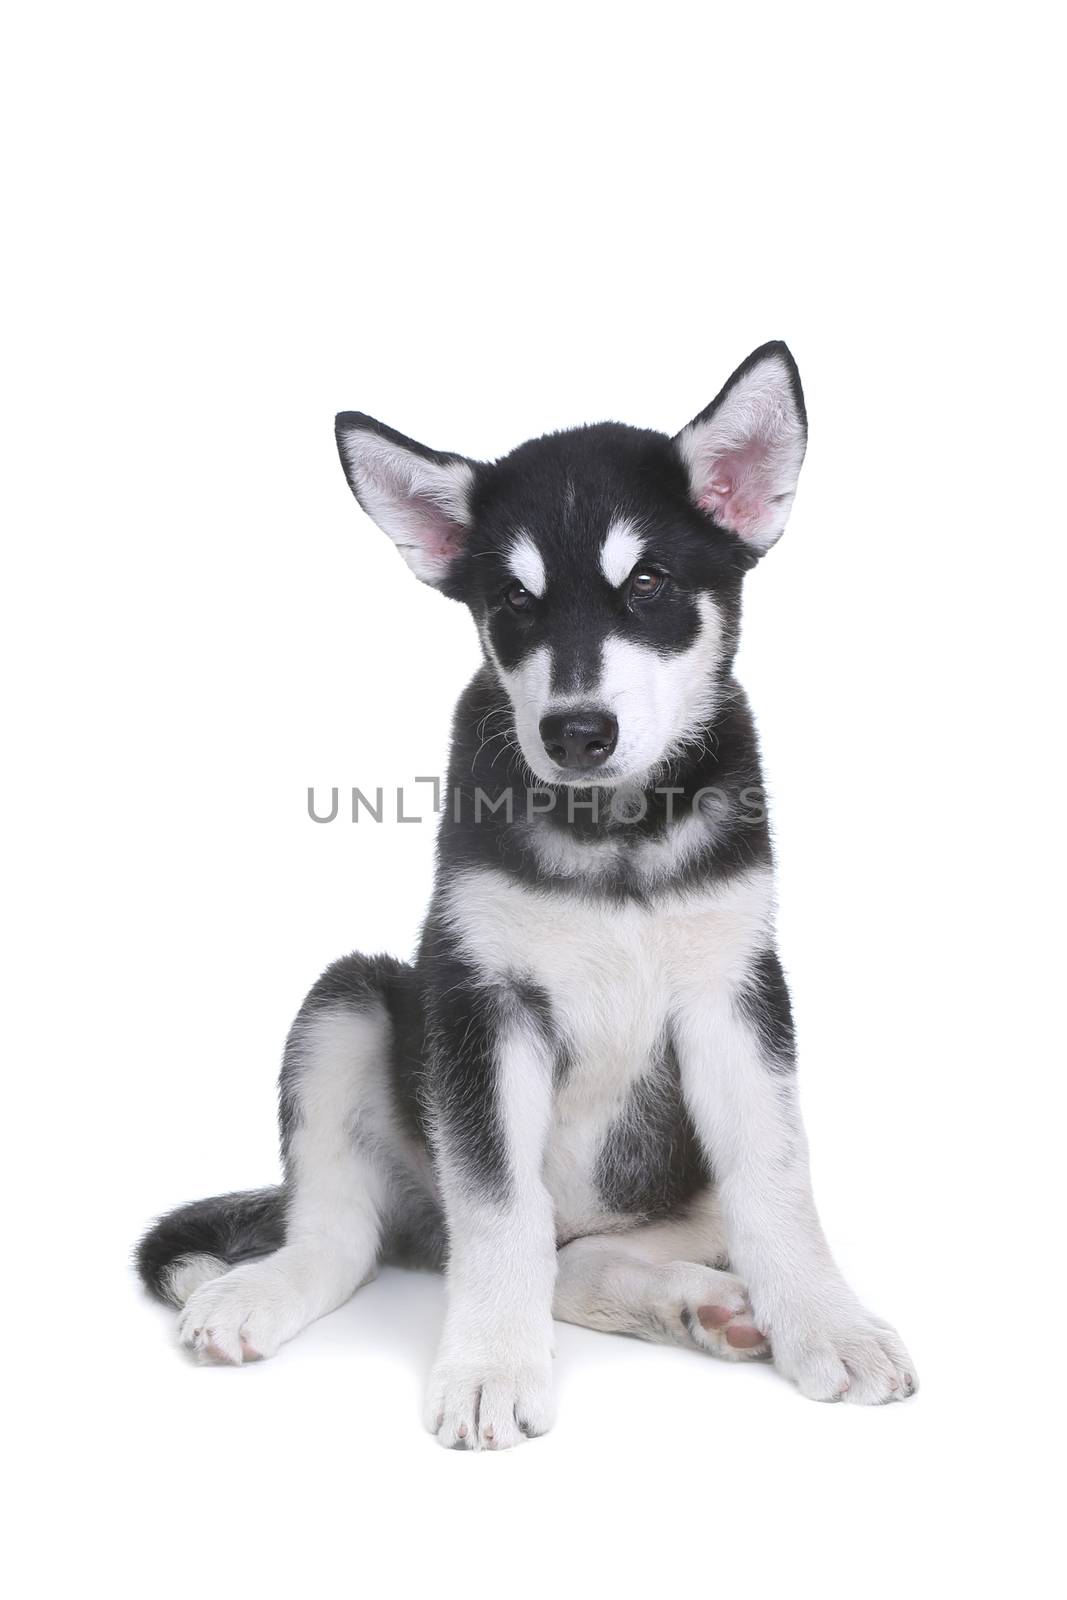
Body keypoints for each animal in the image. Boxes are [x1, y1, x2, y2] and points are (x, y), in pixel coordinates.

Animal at [137, 347, 915, 1452]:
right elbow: (500, 1209)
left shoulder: (736, 993)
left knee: (587, 1254)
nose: (576, 731)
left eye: (648, 582)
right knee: (355, 1233)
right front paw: (490, 1371)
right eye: (513, 597)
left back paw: (705, 1304)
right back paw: (265, 1287)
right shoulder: (482, 1000)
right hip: (351, 1002)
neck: (613, 832)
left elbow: (777, 1181)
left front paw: (827, 1325)